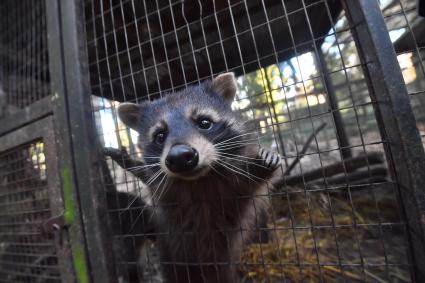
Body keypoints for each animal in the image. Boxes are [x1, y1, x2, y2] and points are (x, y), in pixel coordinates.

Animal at [112, 73, 282, 283]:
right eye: (160, 136)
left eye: (204, 123)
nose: (179, 157)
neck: (200, 180)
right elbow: (148, 176)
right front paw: (129, 161)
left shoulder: (237, 183)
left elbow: (253, 178)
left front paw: (264, 160)